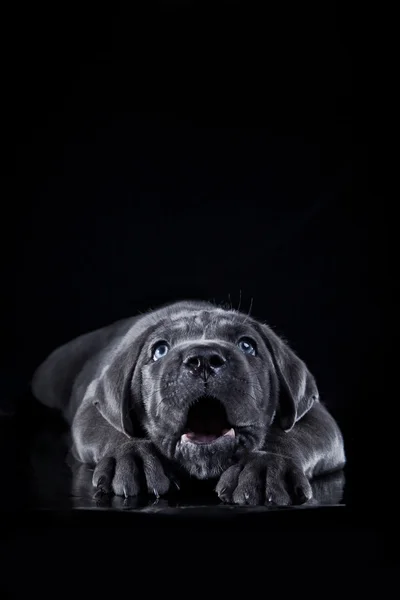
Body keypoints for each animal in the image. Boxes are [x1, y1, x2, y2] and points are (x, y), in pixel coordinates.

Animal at [31, 300, 346, 506]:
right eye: (159, 350)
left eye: (247, 345)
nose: (203, 359)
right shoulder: (91, 408)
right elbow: (109, 428)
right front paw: (131, 456)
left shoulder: (317, 417)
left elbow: (293, 435)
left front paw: (266, 465)